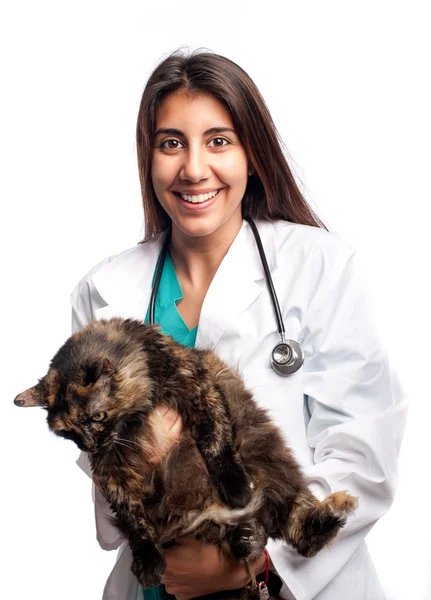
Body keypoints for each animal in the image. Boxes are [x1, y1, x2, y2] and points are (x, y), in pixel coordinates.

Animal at [15, 316, 358, 596]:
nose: (89, 446)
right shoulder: (111, 468)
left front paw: (235, 487)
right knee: (249, 541)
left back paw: (329, 513)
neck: (135, 416)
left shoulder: (198, 386)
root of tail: (208, 512)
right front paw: (148, 561)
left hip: (271, 463)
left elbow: (214, 441)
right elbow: (133, 517)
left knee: (300, 528)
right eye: (67, 432)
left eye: (98, 416)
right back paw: (248, 537)